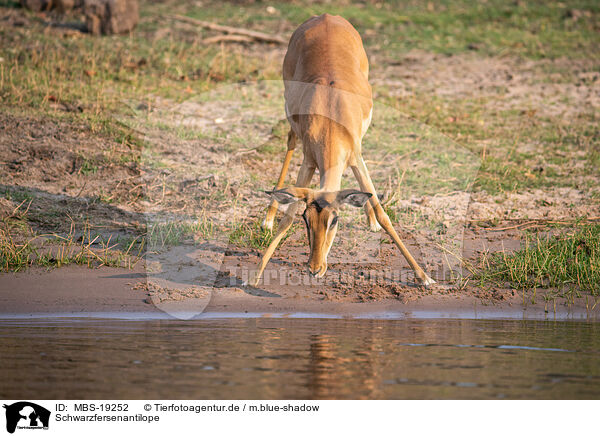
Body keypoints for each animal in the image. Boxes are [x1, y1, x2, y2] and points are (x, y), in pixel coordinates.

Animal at [251, 12, 434, 286]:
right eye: (307, 220)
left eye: (334, 220)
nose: (315, 269)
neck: (330, 120)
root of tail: (325, 16)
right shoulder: (309, 161)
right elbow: (288, 216)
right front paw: (255, 275)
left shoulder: (356, 157)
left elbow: (384, 214)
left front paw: (423, 276)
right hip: (290, 113)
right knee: (290, 142)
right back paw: (268, 218)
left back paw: (370, 220)